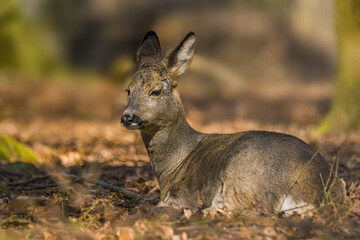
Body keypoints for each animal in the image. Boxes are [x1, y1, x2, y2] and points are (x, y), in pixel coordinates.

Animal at [121, 31, 346, 214]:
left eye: (156, 91)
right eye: (128, 90)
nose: (128, 117)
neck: (173, 164)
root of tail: (319, 192)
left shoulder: (180, 195)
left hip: (242, 175)